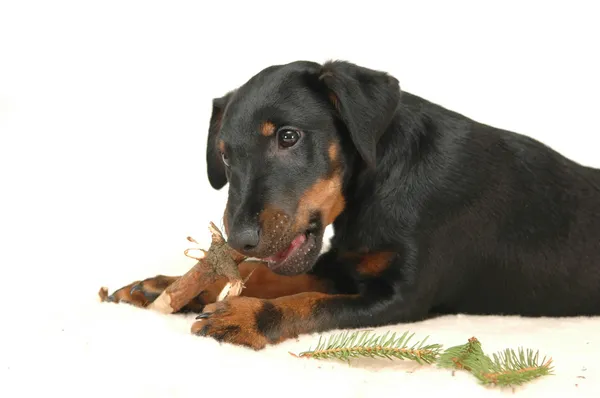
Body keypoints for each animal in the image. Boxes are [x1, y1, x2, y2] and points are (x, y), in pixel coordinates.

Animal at [108, 60, 600, 350]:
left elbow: (307, 302)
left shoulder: (402, 297)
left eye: (288, 136)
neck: (375, 185)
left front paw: (245, 317)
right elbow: (267, 274)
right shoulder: (342, 264)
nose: (240, 240)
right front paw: (171, 285)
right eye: (225, 155)